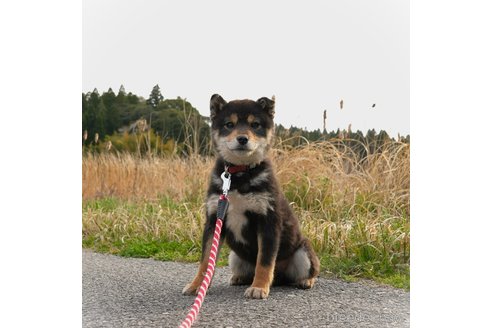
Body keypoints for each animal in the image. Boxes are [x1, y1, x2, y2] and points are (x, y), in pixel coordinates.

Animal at [183, 93, 320, 298]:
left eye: (255, 124)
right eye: (229, 124)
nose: (242, 139)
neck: (239, 175)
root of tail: (280, 279)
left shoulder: (267, 221)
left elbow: (264, 261)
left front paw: (259, 287)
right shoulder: (214, 219)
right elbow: (206, 261)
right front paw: (197, 285)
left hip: (303, 251)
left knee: (309, 271)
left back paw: (305, 281)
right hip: (235, 257)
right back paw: (239, 278)